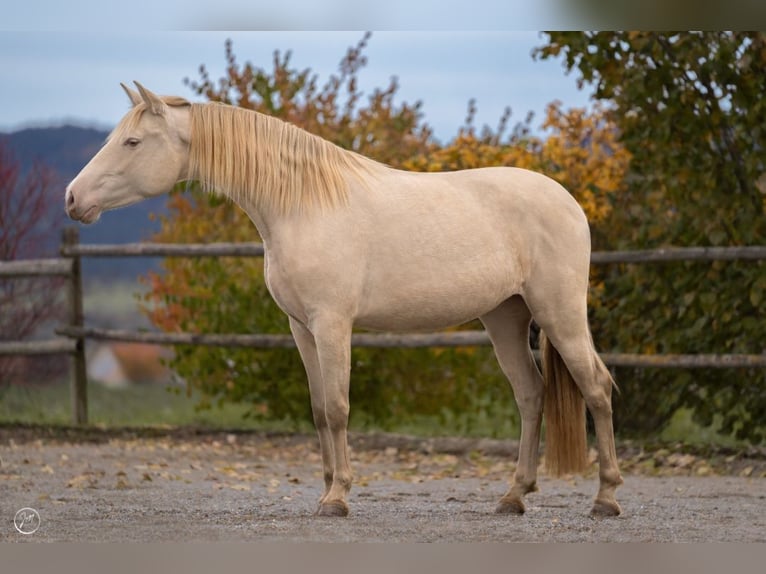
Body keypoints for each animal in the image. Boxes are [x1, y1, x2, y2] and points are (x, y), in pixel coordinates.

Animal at [66, 83, 628, 520]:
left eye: (133, 141)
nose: (73, 199)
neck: (302, 204)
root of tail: (568, 200)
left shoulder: (333, 324)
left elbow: (337, 408)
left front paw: (337, 498)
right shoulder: (301, 328)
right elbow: (318, 410)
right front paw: (324, 490)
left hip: (559, 313)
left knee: (597, 388)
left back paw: (606, 499)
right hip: (505, 317)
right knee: (531, 395)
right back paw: (514, 496)